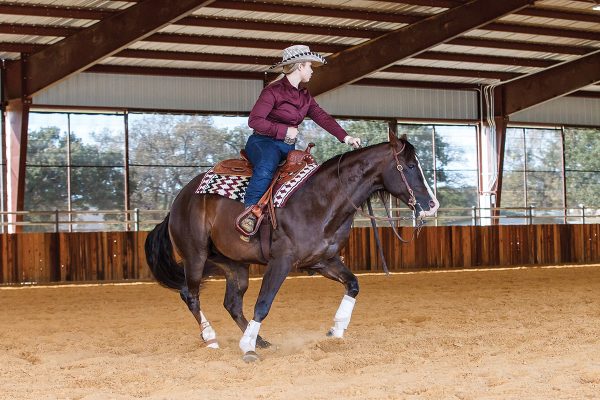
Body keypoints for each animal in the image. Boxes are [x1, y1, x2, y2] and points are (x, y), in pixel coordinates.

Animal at [144, 132, 436, 362]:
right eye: (410, 166)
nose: (432, 206)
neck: (322, 198)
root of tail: (179, 201)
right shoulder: (281, 261)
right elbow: (263, 303)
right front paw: (247, 349)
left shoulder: (323, 260)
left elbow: (353, 285)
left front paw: (336, 330)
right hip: (196, 256)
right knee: (190, 295)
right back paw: (212, 338)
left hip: (235, 265)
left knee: (232, 303)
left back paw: (260, 340)